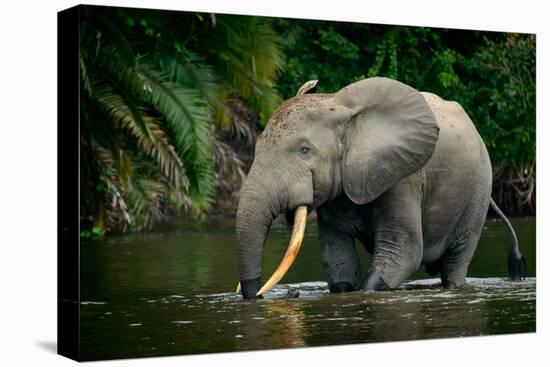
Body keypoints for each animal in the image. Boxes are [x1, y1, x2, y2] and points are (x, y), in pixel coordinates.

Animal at [235, 76, 528, 300]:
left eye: (305, 150)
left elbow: (403, 252)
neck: (339, 105)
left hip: (479, 188)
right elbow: (338, 260)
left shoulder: (402, 178)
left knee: (455, 263)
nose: (259, 295)